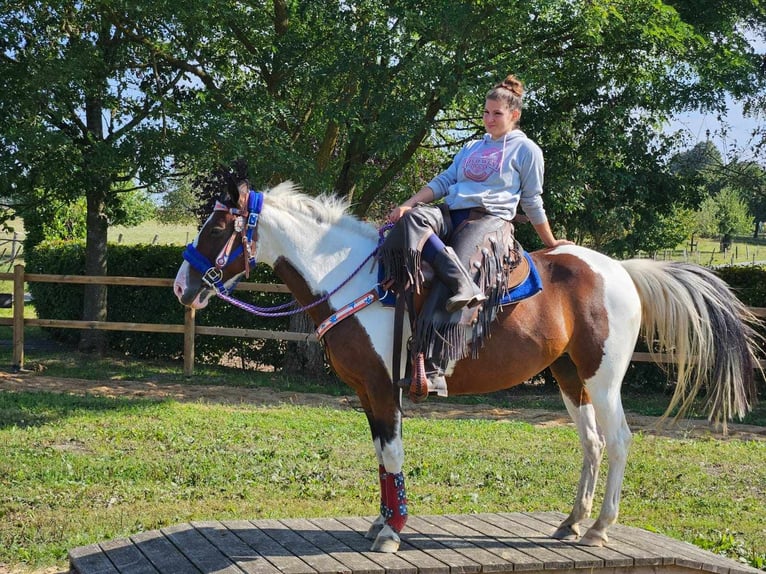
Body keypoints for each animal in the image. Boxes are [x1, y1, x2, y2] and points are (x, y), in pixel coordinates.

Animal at [176, 179, 760, 552]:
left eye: (217, 227)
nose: (182, 286)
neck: (360, 280)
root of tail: (618, 269)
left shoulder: (384, 388)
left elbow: (392, 455)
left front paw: (393, 532)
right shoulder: (367, 391)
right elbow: (381, 459)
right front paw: (380, 523)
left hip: (603, 377)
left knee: (618, 442)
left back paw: (599, 529)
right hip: (570, 377)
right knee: (593, 444)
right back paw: (572, 523)